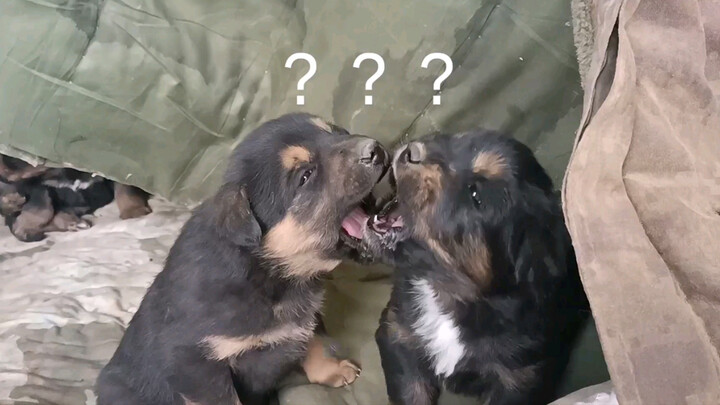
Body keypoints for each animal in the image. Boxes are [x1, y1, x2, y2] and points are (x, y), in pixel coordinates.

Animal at [97, 113, 388, 404]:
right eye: (305, 176)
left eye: (338, 132)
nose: (375, 149)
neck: (266, 270)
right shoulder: (195, 363)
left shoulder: (307, 314)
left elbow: (316, 340)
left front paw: (332, 370)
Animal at [356, 129, 592, 404]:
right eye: (453, 140)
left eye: (476, 196)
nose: (411, 151)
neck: (452, 295)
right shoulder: (398, 330)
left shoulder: (521, 379)